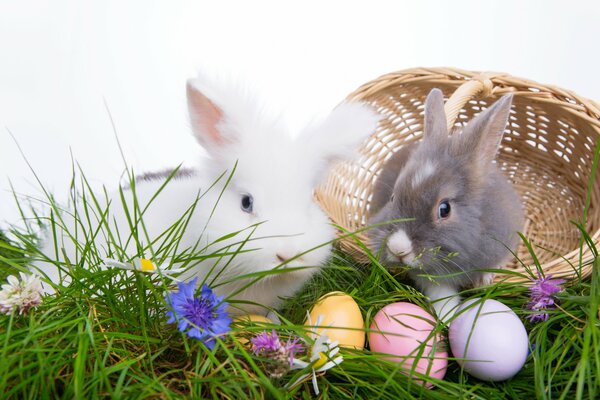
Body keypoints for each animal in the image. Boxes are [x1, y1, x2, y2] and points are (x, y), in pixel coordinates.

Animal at [368, 89, 524, 324]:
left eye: (444, 209)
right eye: (393, 197)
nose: (397, 249)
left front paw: (484, 280)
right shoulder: (431, 276)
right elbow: (441, 294)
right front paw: (448, 318)